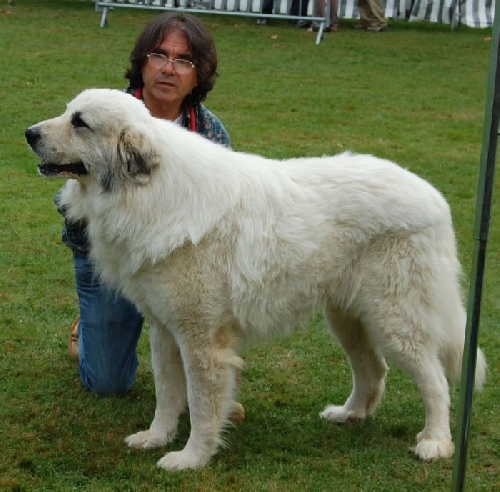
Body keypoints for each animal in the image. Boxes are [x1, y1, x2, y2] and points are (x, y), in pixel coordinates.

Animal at [25, 90, 486, 470]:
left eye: (80, 123)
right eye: (67, 112)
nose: (28, 133)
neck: (146, 192)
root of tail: (433, 196)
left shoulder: (201, 339)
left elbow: (201, 404)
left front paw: (191, 459)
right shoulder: (164, 329)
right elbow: (167, 392)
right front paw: (156, 437)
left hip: (396, 318)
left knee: (435, 380)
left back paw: (435, 442)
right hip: (347, 317)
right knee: (373, 369)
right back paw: (349, 414)